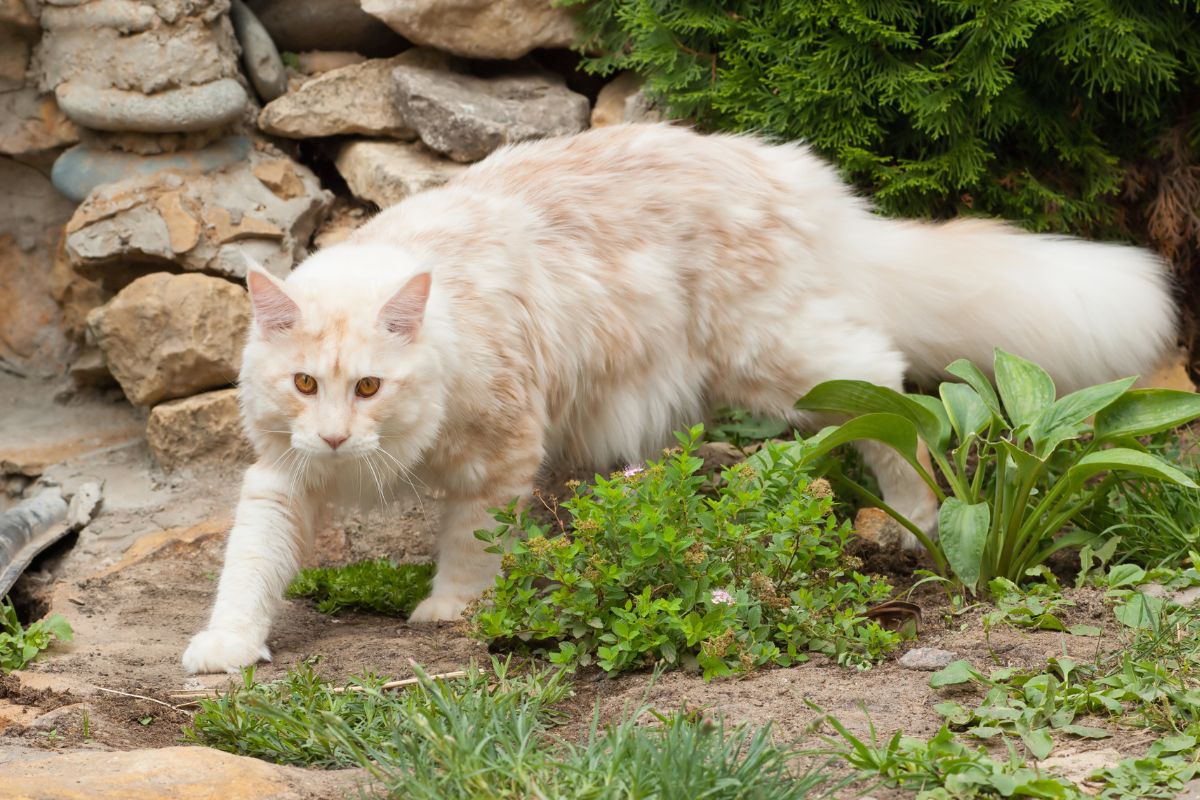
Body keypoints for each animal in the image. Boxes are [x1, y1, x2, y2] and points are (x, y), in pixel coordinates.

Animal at [182, 122, 1176, 671]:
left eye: (370, 387)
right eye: (305, 384)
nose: (337, 438)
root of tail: (795, 174)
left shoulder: (499, 448)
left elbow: (470, 544)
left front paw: (449, 610)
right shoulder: (281, 475)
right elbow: (249, 566)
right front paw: (227, 648)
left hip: (778, 356)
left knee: (886, 388)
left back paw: (916, 517)